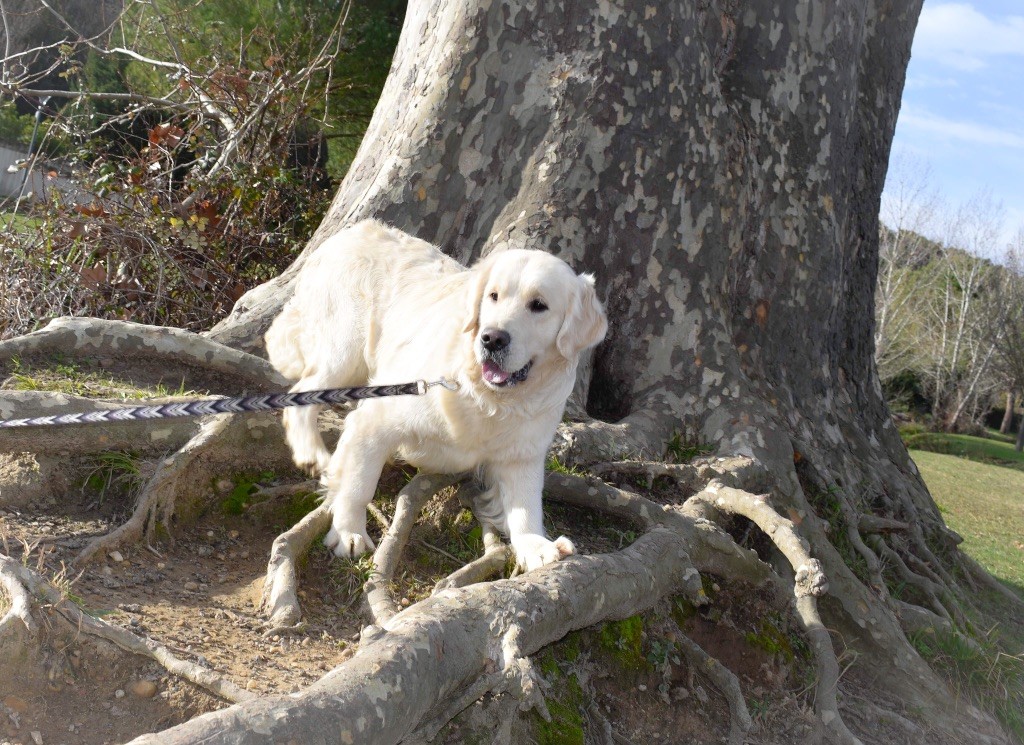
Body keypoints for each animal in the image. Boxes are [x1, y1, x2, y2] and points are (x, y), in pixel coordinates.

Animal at [266, 220, 606, 568]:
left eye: (539, 305)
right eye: (493, 296)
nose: (491, 338)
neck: (488, 399)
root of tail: (349, 231)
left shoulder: (522, 453)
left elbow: (525, 506)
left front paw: (536, 546)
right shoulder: (378, 418)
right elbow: (359, 481)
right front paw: (350, 531)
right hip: (344, 354)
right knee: (300, 397)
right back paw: (310, 452)